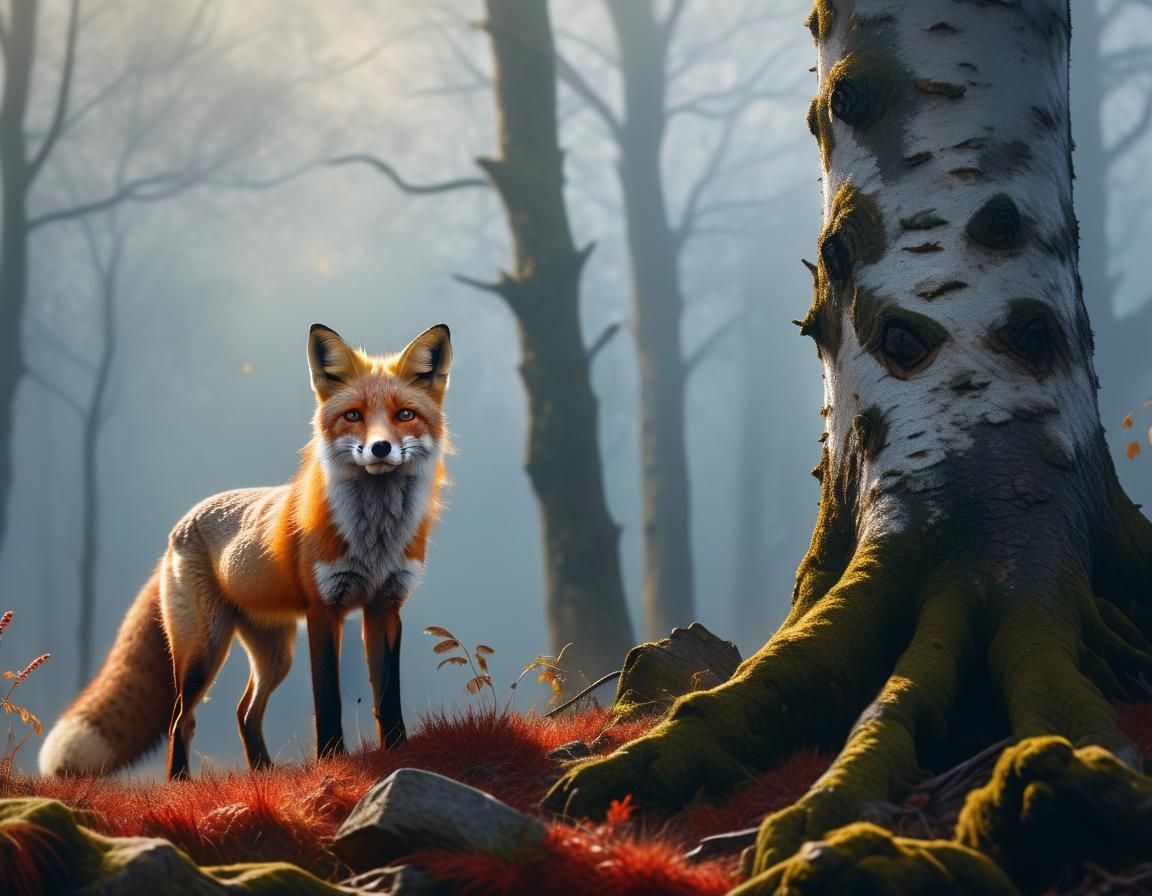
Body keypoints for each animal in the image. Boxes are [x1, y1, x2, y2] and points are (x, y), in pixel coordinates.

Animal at [39, 323, 452, 779]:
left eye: (405, 415)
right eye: (353, 416)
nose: (380, 448)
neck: (374, 540)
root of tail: (177, 529)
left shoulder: (385, 607)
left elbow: (388, 697)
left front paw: (400, 754)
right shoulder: (324, 610)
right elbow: (328, 700)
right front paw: (332, 762)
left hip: (274, 654)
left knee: (244, 712)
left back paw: (263, 774)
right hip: (203, 651)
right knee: (181, 720)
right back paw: (180, 783)